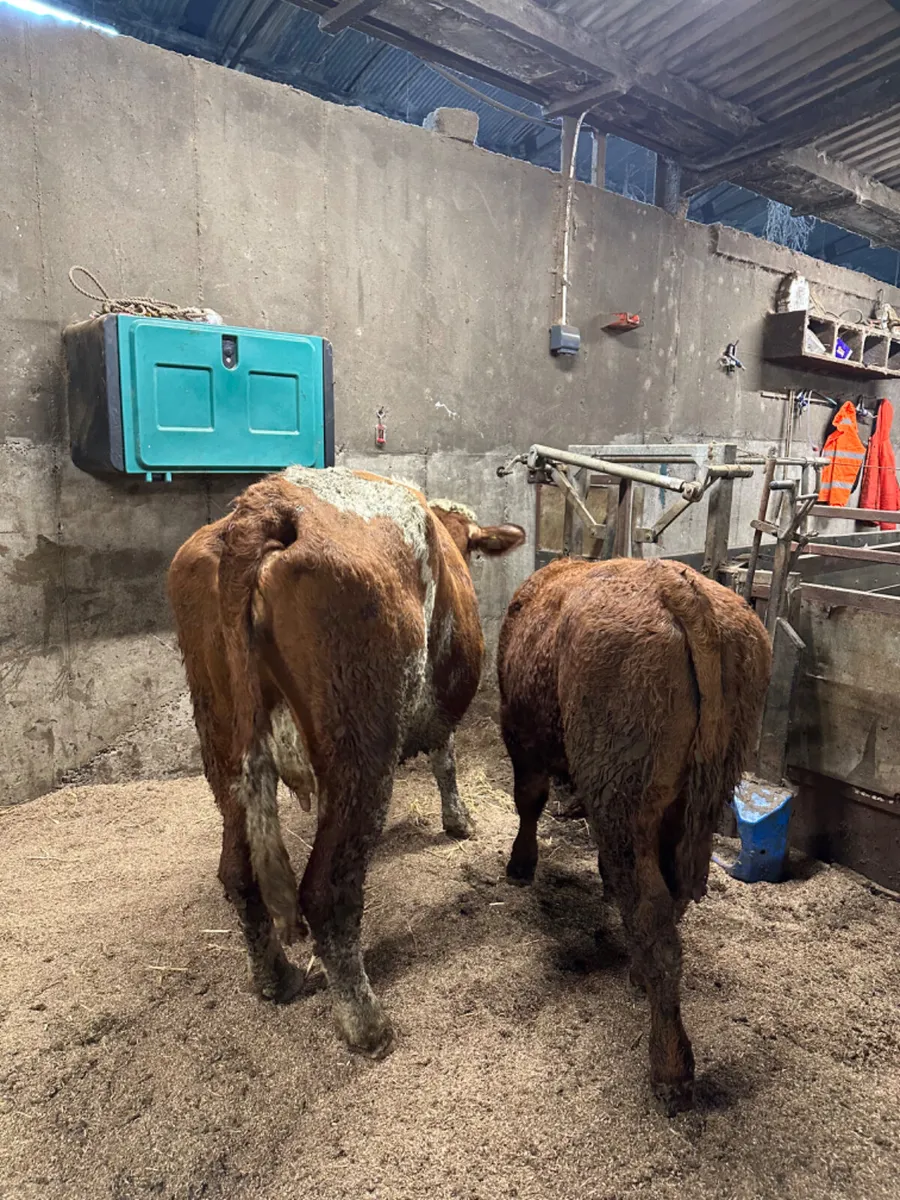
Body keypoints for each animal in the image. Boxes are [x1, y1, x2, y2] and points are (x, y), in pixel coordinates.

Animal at [168, 466, 525, 1058]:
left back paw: (277, 979)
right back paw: (366, 1024)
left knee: (240, 874)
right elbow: (446, 759)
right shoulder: (436, 711)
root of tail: (269, 503)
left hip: (222, 745)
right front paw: (459, 821)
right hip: (361, 747)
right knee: (326, 892)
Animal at [497, 556, 771, 1112]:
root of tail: (675, 586)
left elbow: (528, 802)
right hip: (698, 792)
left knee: (652, 913)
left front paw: (520, 864)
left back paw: (670, 1068)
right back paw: (641, 976)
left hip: (622, 794)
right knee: (670, 901)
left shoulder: (521, 736)